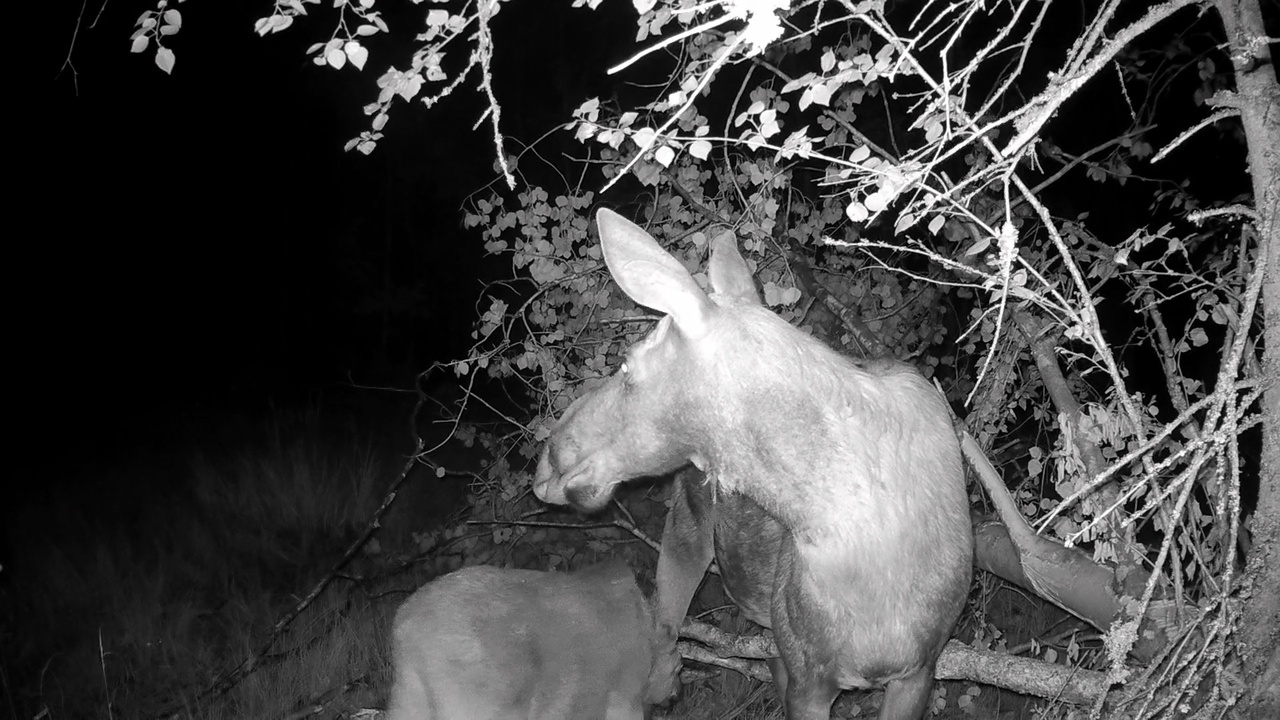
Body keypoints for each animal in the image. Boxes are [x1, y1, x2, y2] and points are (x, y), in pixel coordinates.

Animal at [381, 561, 680, 717]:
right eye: (679, 667)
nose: (676, 695)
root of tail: (407, 624)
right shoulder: (622, 696)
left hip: (410, 690)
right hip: (478, 698)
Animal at [532, 210, 967, 717]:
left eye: (626, 365)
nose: (547, 463)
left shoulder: (920, 668)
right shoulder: (808, 676)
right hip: (690, 526)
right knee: (664, 618)